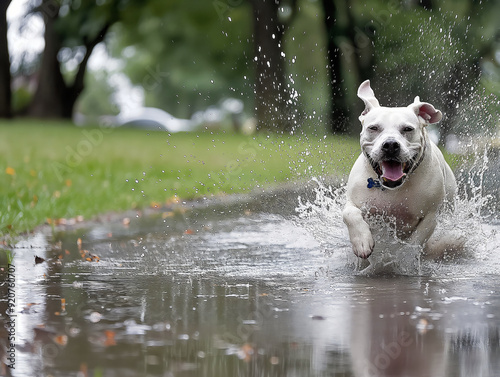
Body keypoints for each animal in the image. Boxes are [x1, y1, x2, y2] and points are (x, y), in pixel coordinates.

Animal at [344, 79, 458, 258]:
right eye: (373, 128)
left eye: (407, 129)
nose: (390, 144)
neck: (393, 188)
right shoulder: (354, 201)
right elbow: (349, 214)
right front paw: (361, 241)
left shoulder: (430, 216)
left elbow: (417, 239)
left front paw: (405, 256)